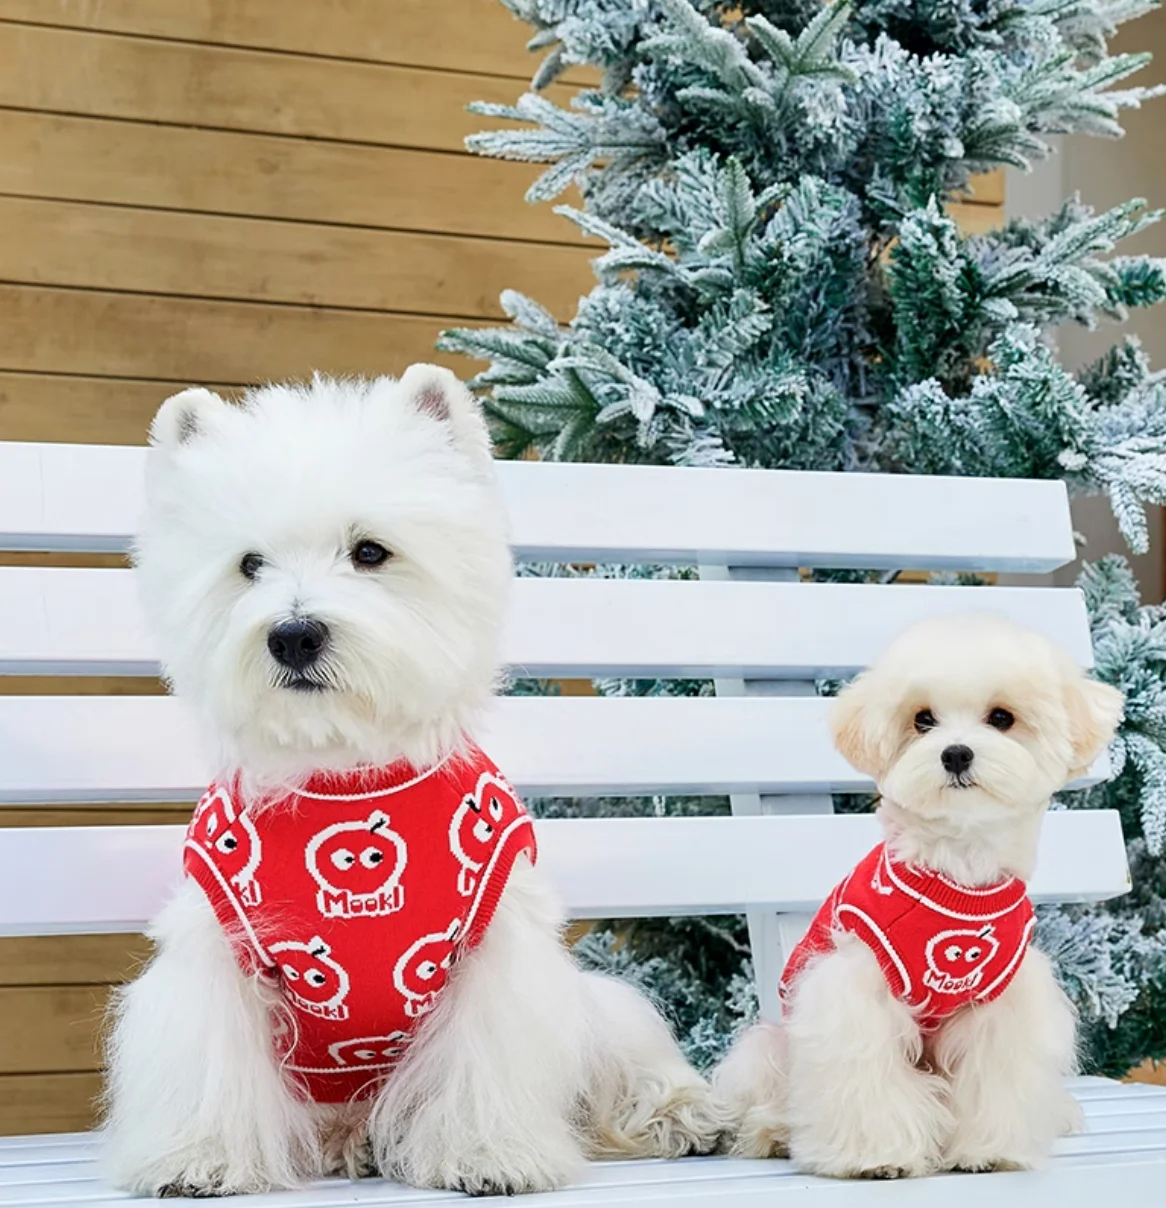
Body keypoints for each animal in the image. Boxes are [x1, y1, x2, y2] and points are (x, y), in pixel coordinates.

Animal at [102, 367, 720, 1198]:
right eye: (249, 565)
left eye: (370, 551)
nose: (293, 635)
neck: (345, 770)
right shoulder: (220, 944)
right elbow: (209, 1063)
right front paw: (198, 1158)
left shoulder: (491, 948)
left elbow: (482, 1066)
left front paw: (488, 1157)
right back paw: (347, 1141)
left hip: (597, 1009)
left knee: (625, 1056)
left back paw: (686, 1115)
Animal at [715, 618, 1126, 1174]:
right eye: (922, 720)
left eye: (1002, 718)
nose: (955, 753)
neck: (956, 869)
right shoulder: (857, 986)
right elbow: (866, 1073)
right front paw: (876, 1157)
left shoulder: (999, 1002)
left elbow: (993, 1076)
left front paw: (988, 1150)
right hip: (769, 1050)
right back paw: (773, 1132)